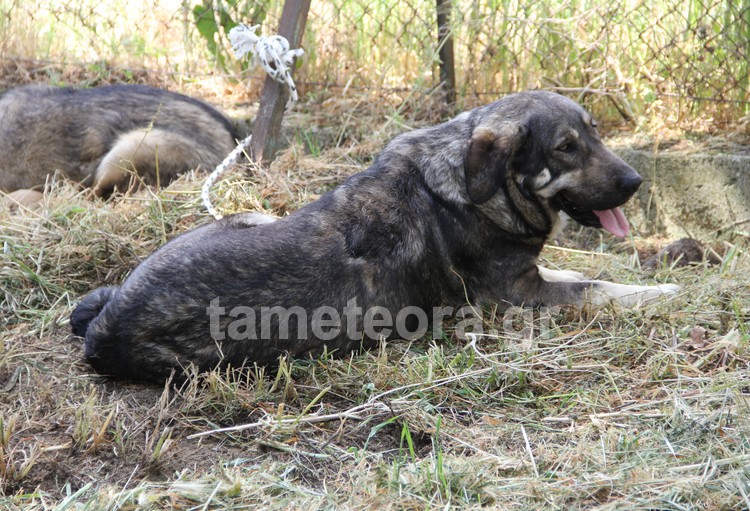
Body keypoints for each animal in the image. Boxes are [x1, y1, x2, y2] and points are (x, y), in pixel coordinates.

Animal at [70, 90, 680, 382]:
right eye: (566, 148)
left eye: (596, 135)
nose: (635, 181)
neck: (473, 184)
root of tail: (109, 323)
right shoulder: (517, 298)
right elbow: (597, 288)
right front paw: (662, 293)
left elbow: (575, 271)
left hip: (252, 215)